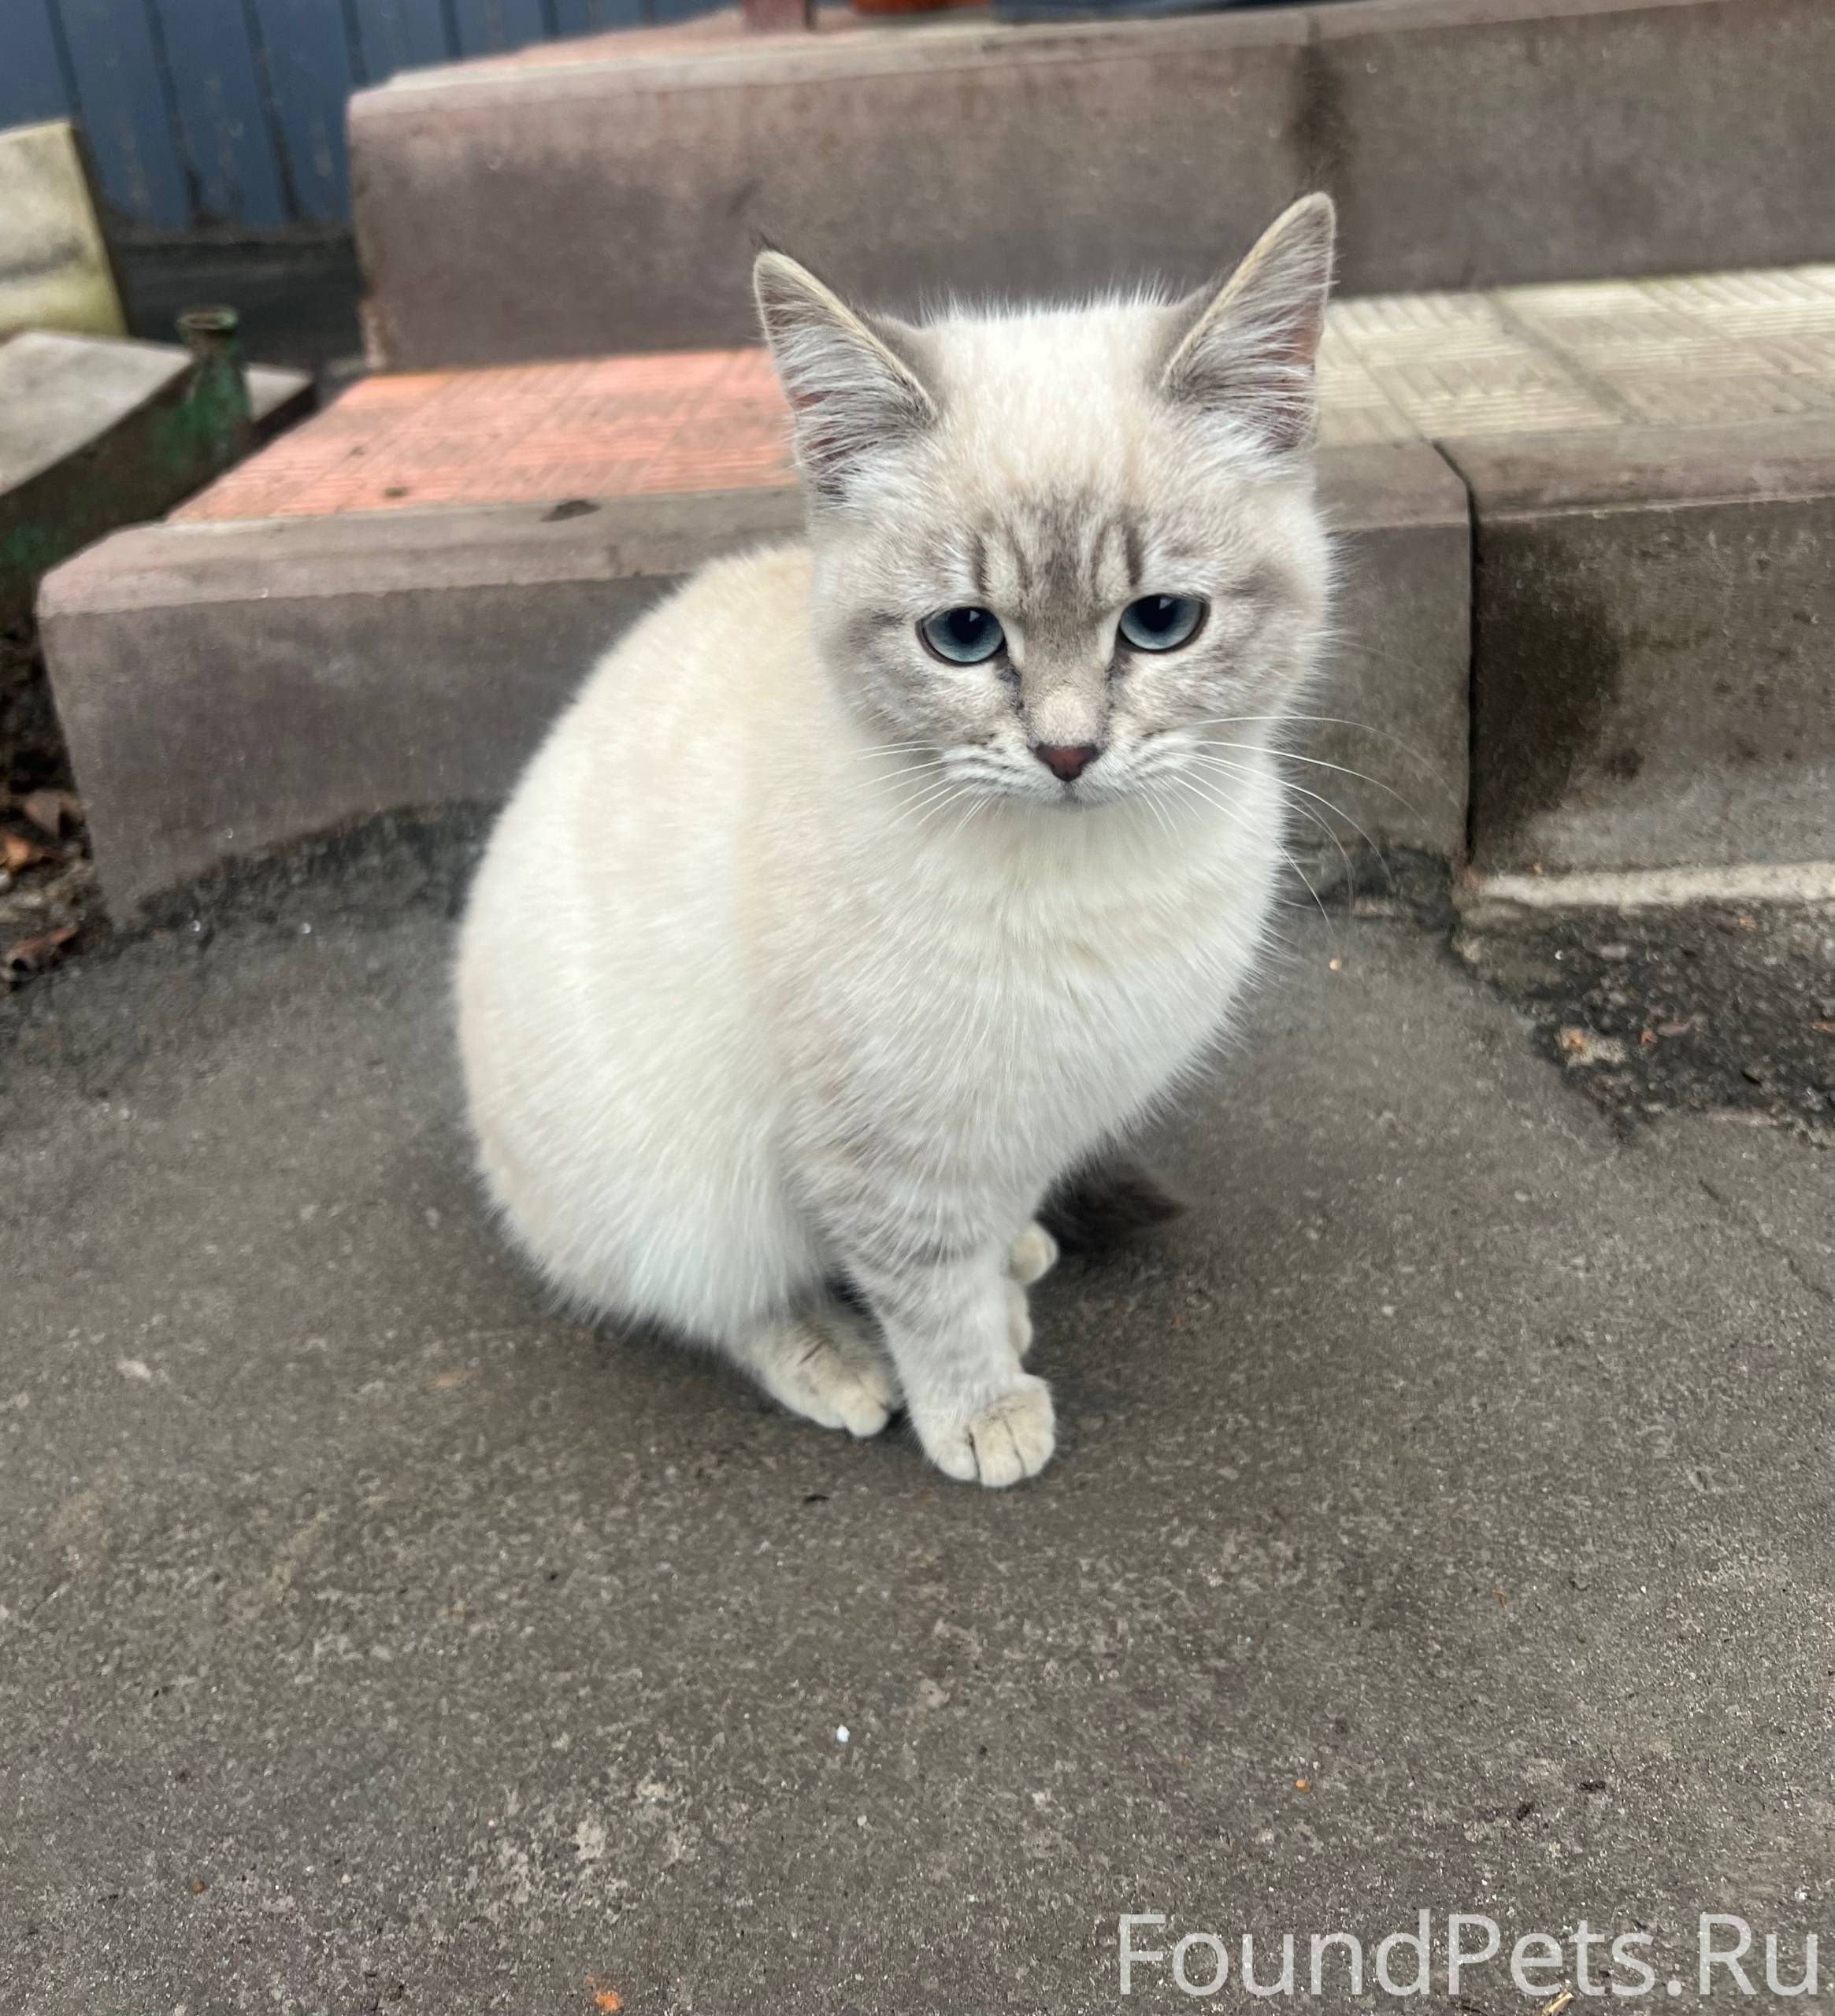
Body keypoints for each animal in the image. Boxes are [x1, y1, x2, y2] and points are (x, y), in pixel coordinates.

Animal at [455, 193, 1336, 1487]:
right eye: (962, 637)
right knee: (715, 1299)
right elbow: (925, 1288)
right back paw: (835, 1361)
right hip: (670, 1194)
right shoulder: (877, 1144)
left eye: (1161, 623)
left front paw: (1012, 1278)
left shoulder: (1041, 1105)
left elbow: (990, 1223)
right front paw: (979, 1408)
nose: (1067, 754)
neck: (1088, 891)